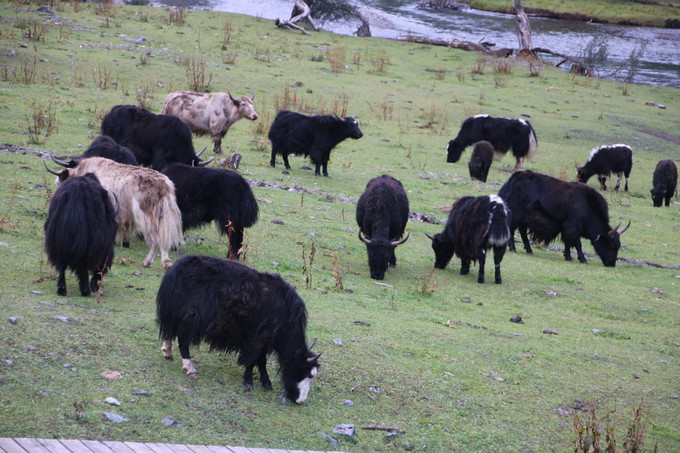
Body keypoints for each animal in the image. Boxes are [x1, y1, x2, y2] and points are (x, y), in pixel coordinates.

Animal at [46, 156, 184, 269]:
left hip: (146, 216)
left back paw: (148, 262)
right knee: (163, 238)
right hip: (163, 216)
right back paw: (165, 262)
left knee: (155, 239)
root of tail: (164, 186)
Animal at [156, 255, 321, 404]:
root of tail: (175, 270)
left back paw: (167, 353)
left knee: (169, 332)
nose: (300, 400)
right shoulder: (259, 338)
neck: (285, 313)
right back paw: (190, 369)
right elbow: (254, 359)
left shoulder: (263, 339)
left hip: (175, 313)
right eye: (307, 374)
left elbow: (261, 361)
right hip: (191, 318)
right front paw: (249, 382)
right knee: (183, 340)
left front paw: (266, 383)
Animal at [498, 171, 629, 267]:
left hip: (525, 218)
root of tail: (515, 178)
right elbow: (577, 243)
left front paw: (568, 256)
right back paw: (513, 248)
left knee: (522, 231)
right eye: (612, 245)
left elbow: (567, 242)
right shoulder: (573, 226)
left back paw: (529, 249)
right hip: (517, 214)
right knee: (512, 229)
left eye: (618, 245)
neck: (589, 206)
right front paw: (582, 259)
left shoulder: (566, 227)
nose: (611, 264)